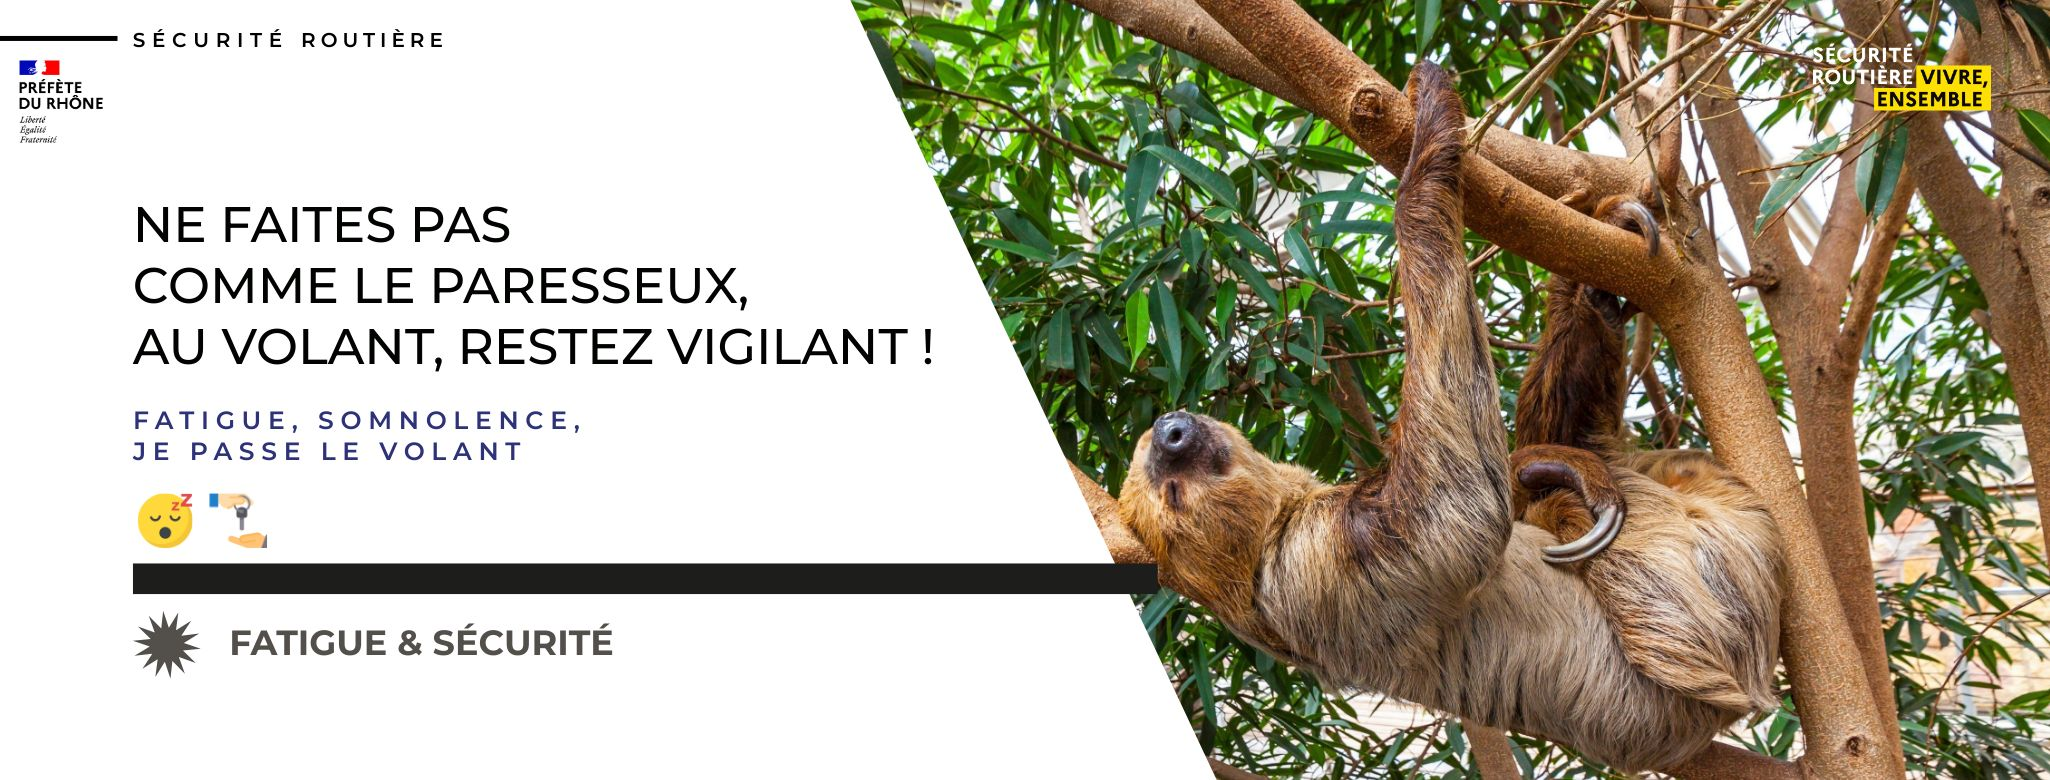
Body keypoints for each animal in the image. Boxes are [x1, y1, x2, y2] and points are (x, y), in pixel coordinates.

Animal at [1113, 62, 1783, 773]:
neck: (1280, 528)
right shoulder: (1328, 560)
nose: (1170, 429)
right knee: (1616, 515)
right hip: (1695, 606)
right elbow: (1456, 505)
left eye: (1156, 457)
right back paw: (1572, 480)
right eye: (1172, 492)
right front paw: (1429, 138)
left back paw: (1590, 299)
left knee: (1569, 431)